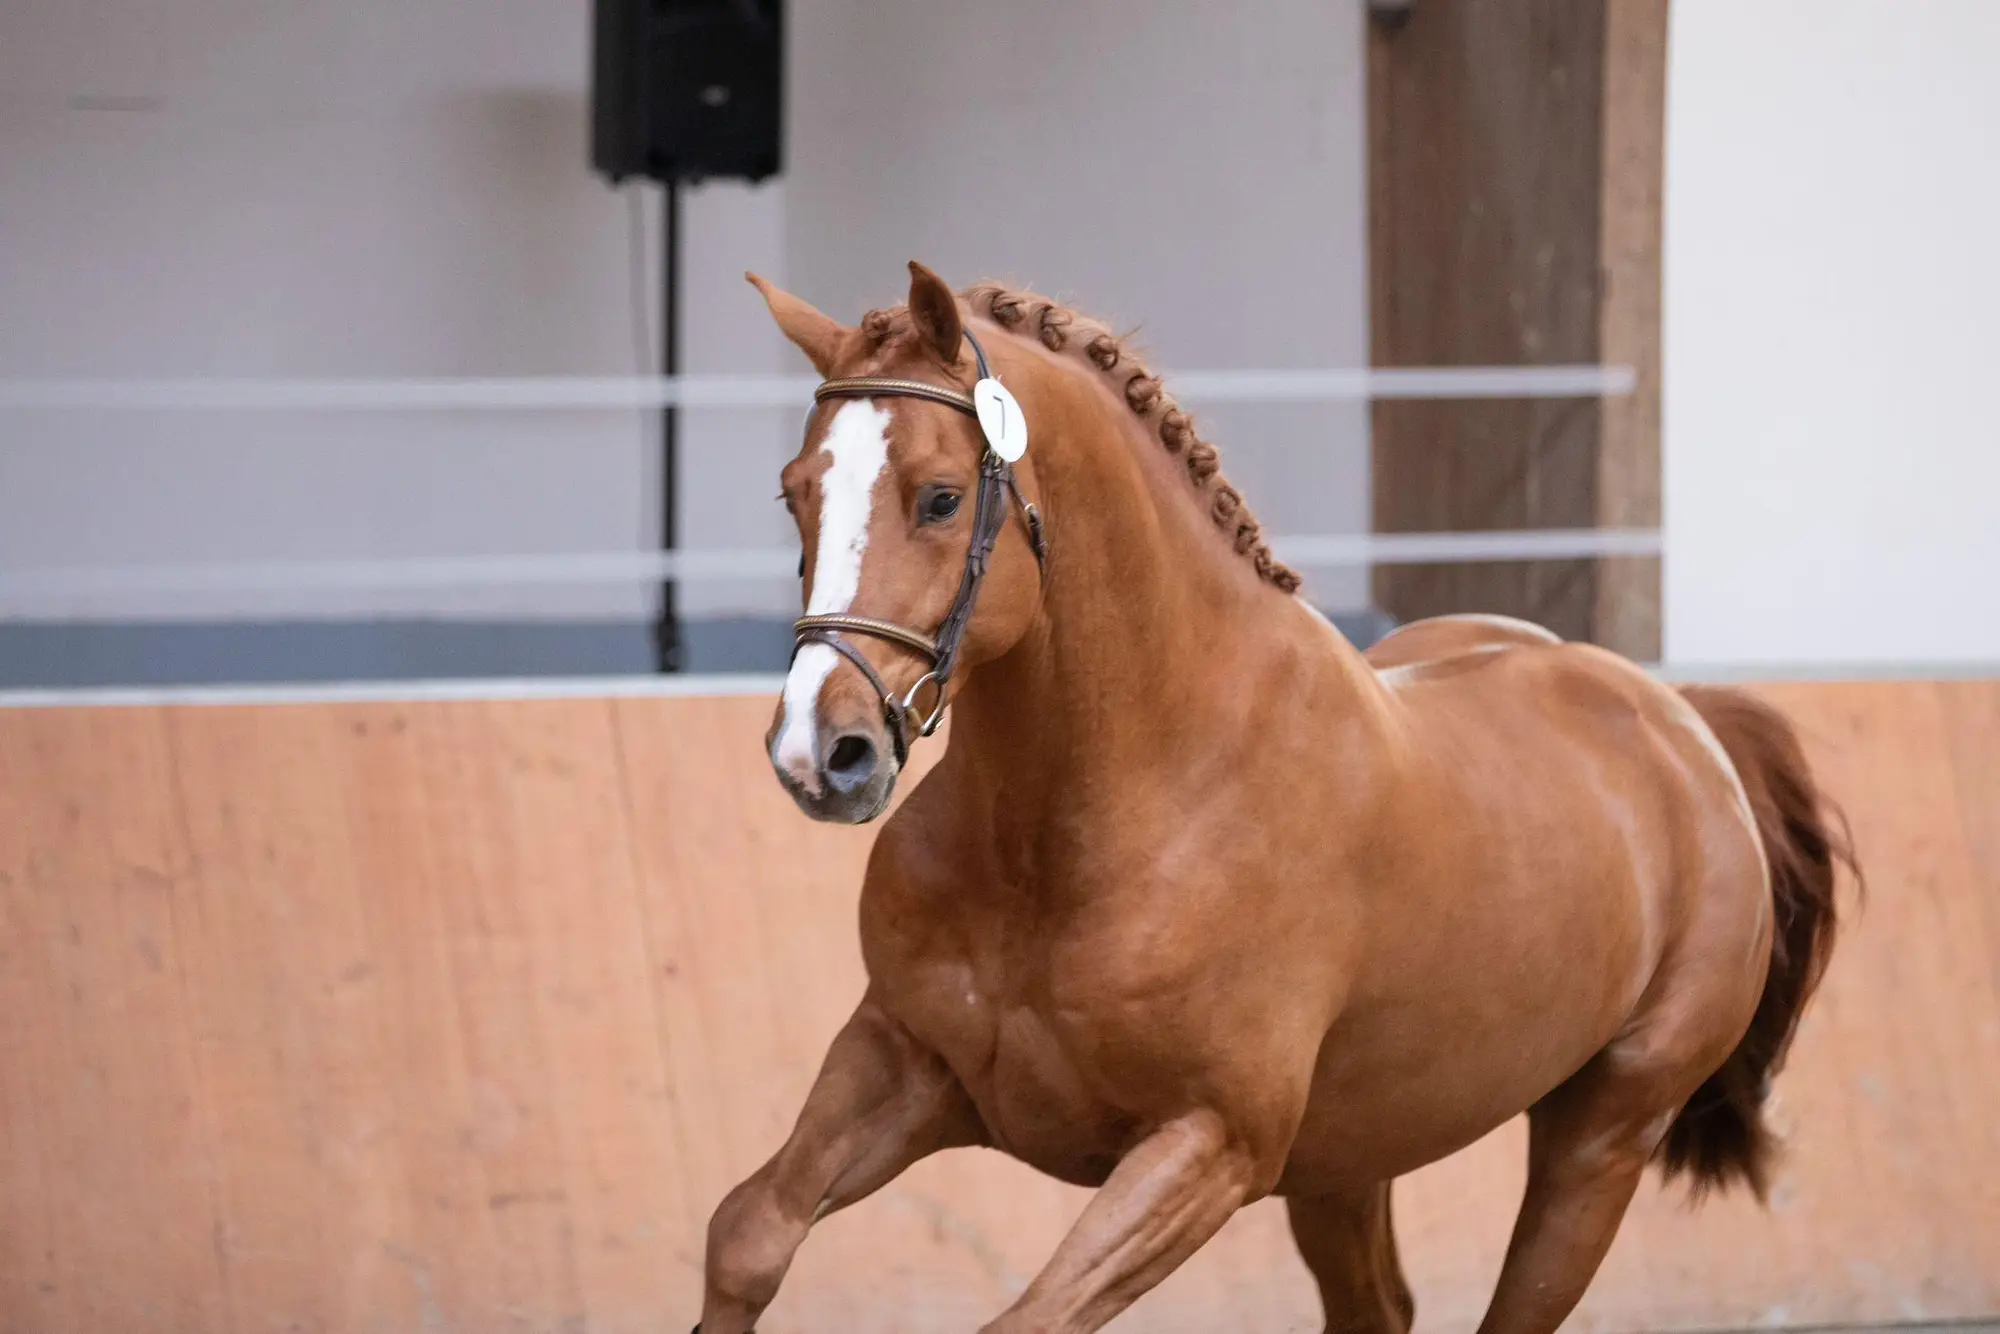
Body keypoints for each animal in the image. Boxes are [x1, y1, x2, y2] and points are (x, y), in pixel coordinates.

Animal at [696, 262, 1854, 1334]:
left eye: (938, 496)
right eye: (795, 492)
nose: (821, 753)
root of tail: (1681, 726)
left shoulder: (1208, 1147)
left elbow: (1022, 1320)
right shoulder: (906, 1057)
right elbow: (747, 1233)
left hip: (1600, 1139)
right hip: (1348, 1160)